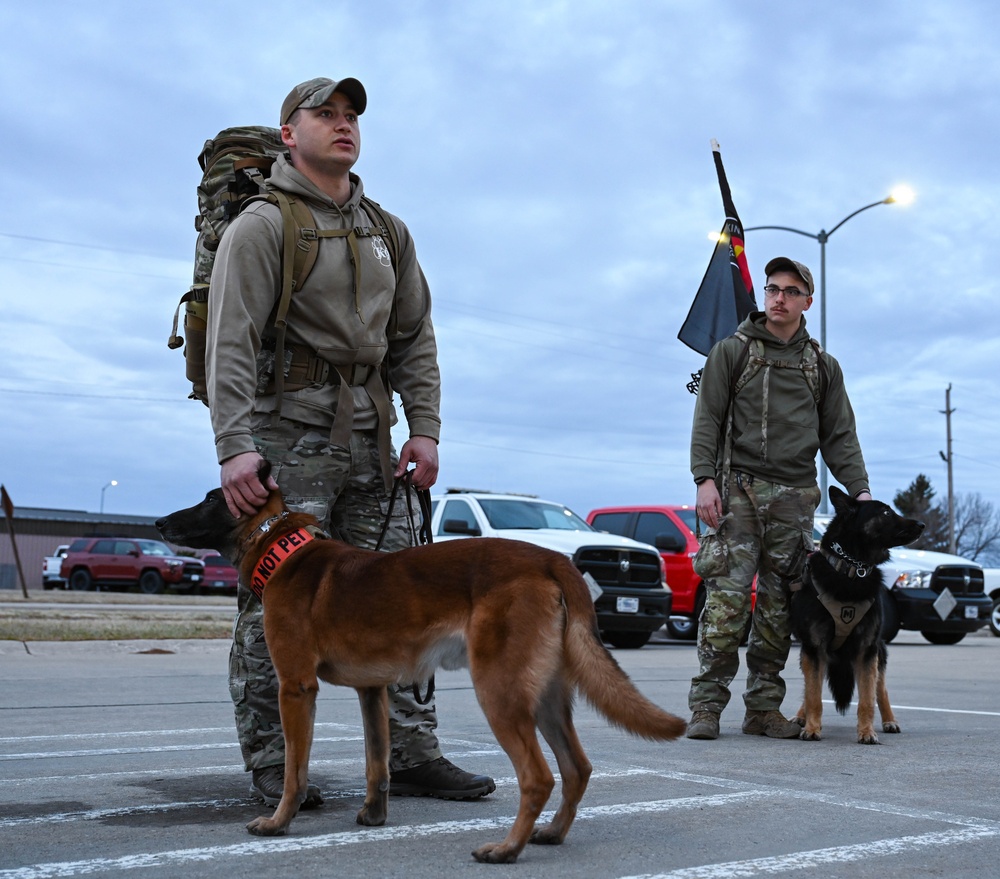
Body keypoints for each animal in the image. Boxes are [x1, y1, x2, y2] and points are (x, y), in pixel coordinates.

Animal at [156, 468, 688, 868]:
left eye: (211, 498)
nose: (159, 522)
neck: (284, 551)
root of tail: (554, 561)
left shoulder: (295, 688)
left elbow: (295, 772)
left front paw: (279, 822)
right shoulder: (371, 691)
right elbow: (376, 764)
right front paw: (373, 816)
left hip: (499, 691)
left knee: (539, 776)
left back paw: (506, 849)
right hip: (546, 699)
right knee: (577, 767)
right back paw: (552, 833)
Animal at [792, 488, 924, 744]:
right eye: (886, 512)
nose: (922, 525)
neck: (852, 569)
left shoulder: (867, 650)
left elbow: (867, 699)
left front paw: (866, 732)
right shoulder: (814, 648)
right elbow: (813, 695)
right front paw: (812, 728)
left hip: (878, 653)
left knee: (881, 689)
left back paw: (889, 720)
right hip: (811, 655)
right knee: (809, 687)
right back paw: (802, 717)